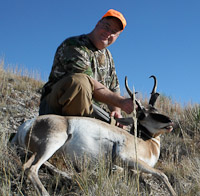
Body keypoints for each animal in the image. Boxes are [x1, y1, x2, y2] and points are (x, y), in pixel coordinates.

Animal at [11, 76, 176, 195]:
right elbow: (162, 174)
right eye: (142, 115)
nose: (170, 121)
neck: (144, 142)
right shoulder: (126, 159)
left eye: (155, 110)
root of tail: (28, 124)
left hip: (40, 151)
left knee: (27, 166)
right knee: (31, 169)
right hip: (52, 145)